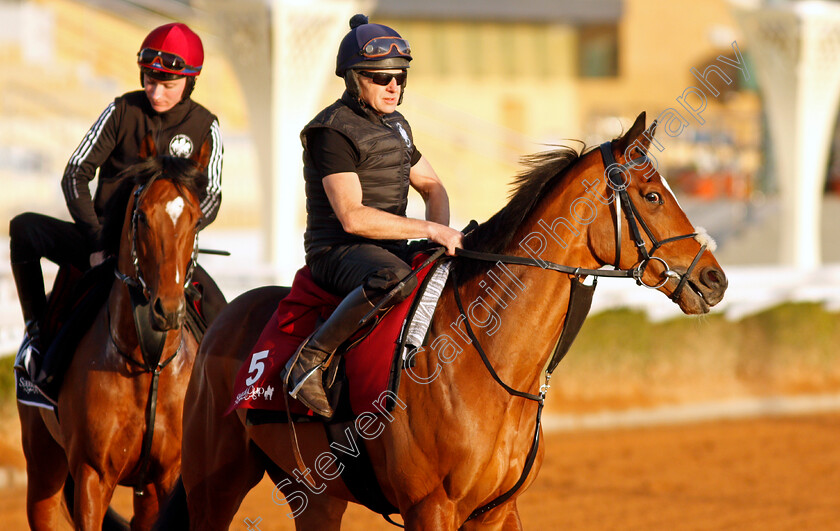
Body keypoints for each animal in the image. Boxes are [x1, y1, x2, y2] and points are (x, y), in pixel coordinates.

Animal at [17, 140, 210, 531]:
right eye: (141, 217)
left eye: (196, 219)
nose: (168, 310)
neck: (148, 365)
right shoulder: (92, 475)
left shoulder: (169, 475)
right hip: (43, 466)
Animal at [166, 111, 728, 528]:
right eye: (652, 195)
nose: (714, 279)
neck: (491, 368)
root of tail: (227, 314)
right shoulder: (430, 509)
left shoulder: (498, 510)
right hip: (212, 482)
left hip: (314, 492)